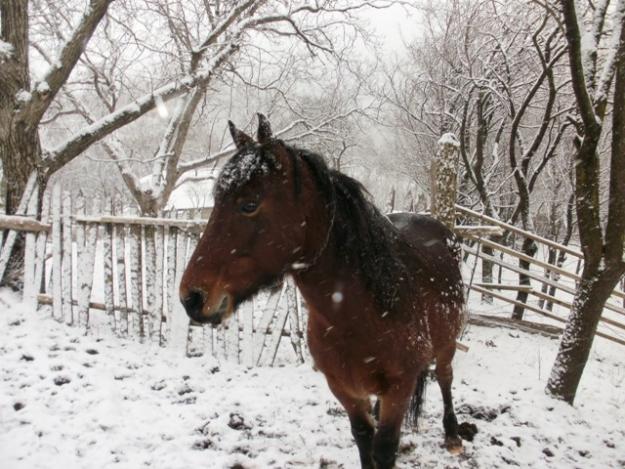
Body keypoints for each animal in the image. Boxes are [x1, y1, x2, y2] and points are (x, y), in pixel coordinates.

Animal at [178, 114, 466, 468]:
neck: (363, 315)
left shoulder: (399, 387)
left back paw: (453, 435)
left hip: (447, 344)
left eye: (249, 205)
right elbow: (364, 438)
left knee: (445, 377)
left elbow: (384, 449)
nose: (191, 297)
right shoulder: (343, 389)